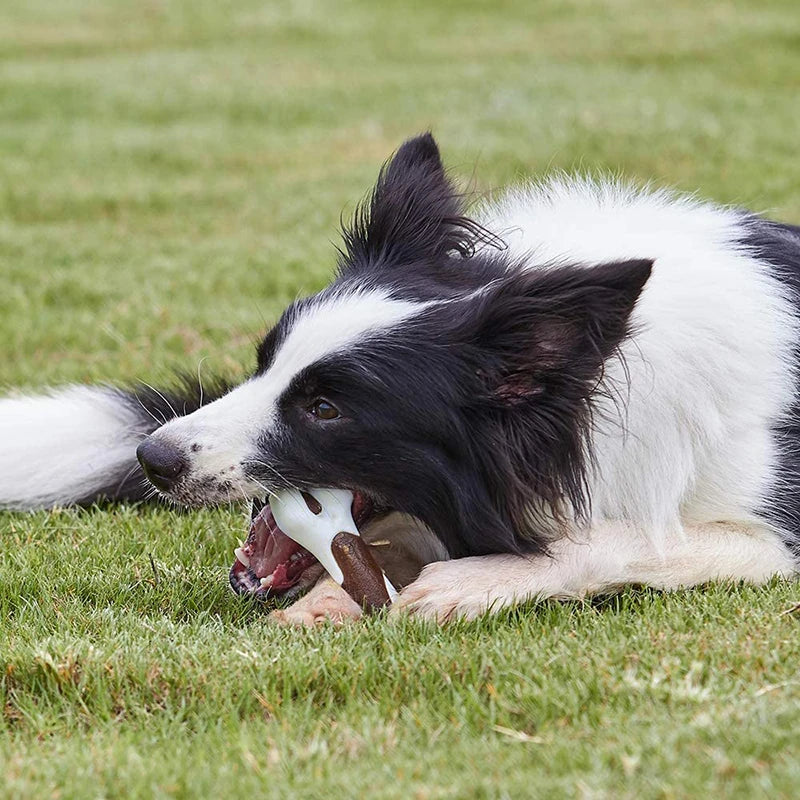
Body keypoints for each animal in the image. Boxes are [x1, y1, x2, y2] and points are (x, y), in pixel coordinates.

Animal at [1, 133, 800, 624]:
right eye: (264, 362)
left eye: (325, 408)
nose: (153, 457)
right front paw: (336, 597)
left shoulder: (770, 532)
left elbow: (637, 537)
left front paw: (478, 580)